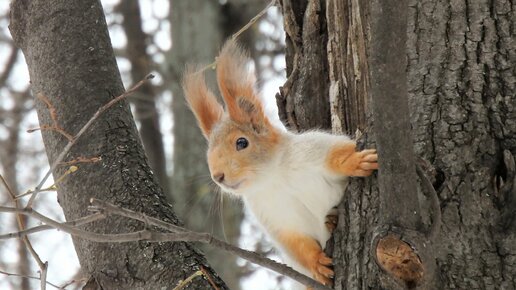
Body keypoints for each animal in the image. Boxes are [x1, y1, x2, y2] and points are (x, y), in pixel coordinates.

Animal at [183, 39, 376, 286]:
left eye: (242, 142)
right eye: (208, 153)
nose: (218, 176)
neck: (272, 179)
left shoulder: (312, 150)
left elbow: (336, 154)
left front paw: (356, 161)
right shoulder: (277, 219)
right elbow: (297, 245)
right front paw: (317, 264)